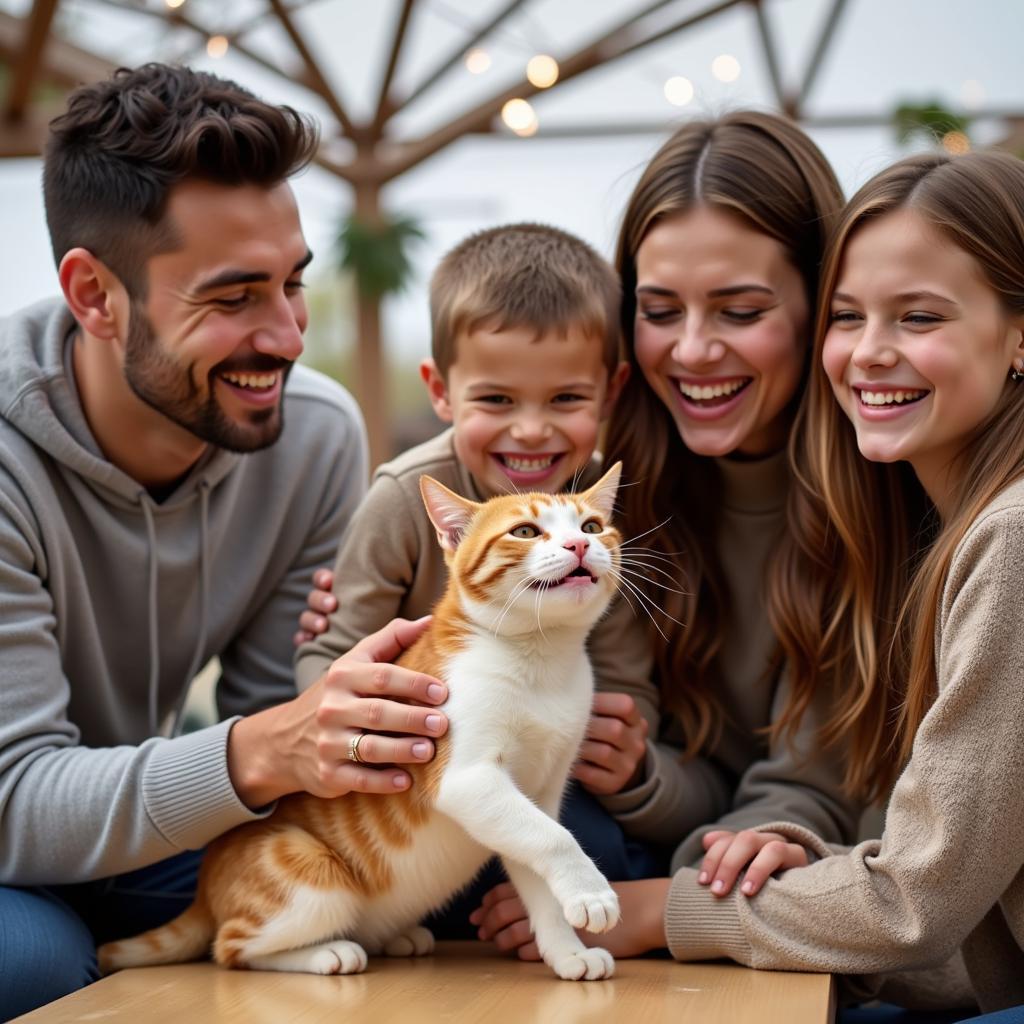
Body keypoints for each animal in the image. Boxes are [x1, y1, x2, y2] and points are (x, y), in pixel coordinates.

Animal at [97, 466, 622, 983]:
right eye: (526, 532)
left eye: (592, 526)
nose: (578, 546)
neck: (541, 659)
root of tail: (205, 890)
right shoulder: (467, 778)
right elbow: (553, 837)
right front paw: (593, 892)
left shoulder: (535, 794)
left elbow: (535, 860)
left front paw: (567, 949)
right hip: (310, 879)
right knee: (231, 949)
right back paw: (326, 953)